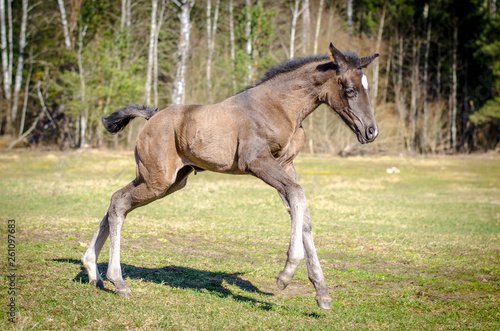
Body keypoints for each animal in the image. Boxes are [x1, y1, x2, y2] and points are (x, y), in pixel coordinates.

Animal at [83, 42, 378, 310]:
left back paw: (92, 270)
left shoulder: (286, 165)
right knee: (120, 203)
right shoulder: (257, 162)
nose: (371, 131)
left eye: (367, 88)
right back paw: (117, 281)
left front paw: (322, 292)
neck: (280, 106)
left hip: (169, 180)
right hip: (158, 179)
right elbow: (297, 196)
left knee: (116, 201)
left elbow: (302, 215)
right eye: (350, 90)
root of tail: (151, 117)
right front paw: (285, 275)